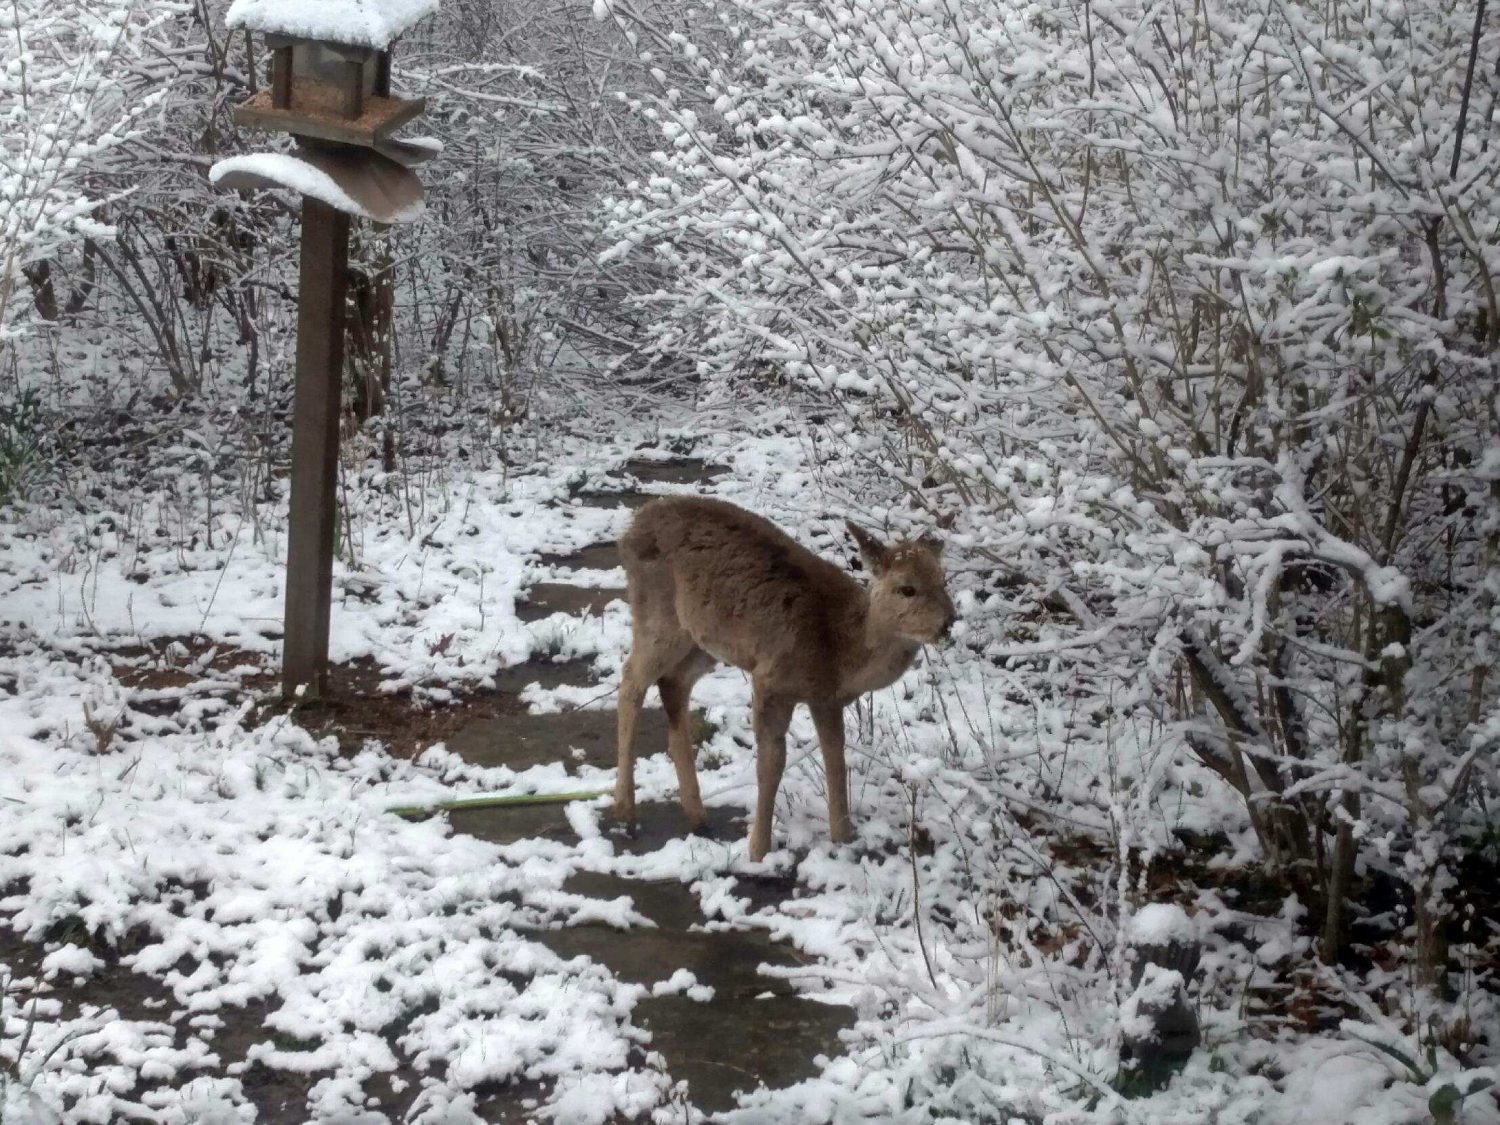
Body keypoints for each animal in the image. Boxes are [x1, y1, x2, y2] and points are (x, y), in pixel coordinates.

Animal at [612, 495, 954, 864]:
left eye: (943, 580)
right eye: (907, 589)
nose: (949, 621)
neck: (840, 650)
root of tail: (630, 529)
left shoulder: (826, 699)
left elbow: (836, 759)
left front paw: (843, 838)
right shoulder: (772, 679)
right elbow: (772, 764)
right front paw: (758, 850)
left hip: (702, 640)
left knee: (673, 683)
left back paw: (697, 816)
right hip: (658, 615)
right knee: (631, 680)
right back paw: (625, 811)